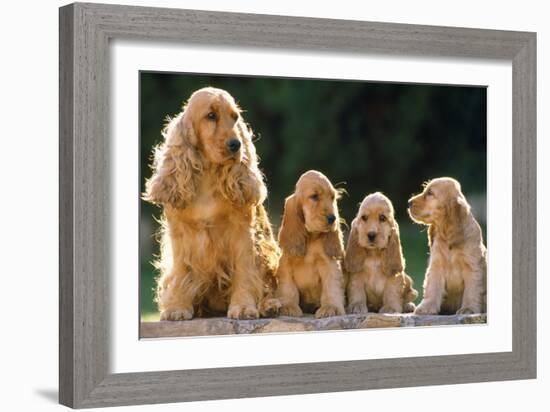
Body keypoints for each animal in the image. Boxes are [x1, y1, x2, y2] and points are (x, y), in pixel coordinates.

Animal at [143, 87, 280, 320]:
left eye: (235, 117)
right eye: (211, 116)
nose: (236, 145)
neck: (207, 176)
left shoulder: (242, 232)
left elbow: (245, 271)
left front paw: (243, 307)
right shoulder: (180, 234)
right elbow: (181, 272)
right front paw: (177, 308)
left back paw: (269, 305)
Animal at [278, 171, 348, 318]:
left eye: (333, 197)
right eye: (314, 196)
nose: (333, 218)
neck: (311, 237)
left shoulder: (329, 264)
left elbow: (331, 287)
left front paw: (330, 307)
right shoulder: (286, 263)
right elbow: (288, 287)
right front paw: (288, 306)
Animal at [410, 175, 488, 314]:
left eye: (430, 193)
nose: (408, 203)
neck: (446, 236)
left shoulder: (472, 267)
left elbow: (472, 290)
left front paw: (468, 309)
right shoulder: (436, 266)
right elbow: (432, 287)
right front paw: (426, 307)